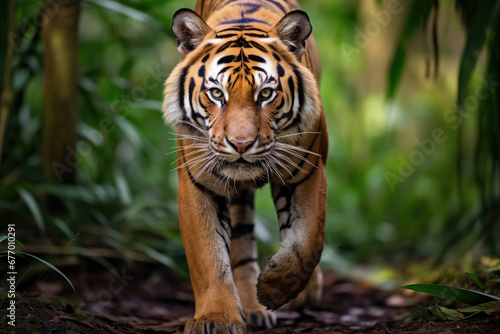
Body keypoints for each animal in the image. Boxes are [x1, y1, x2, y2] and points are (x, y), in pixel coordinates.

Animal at [162, 0, 330, 332]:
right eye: (216, 93)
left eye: (265, 94)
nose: (240, 144)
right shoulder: (198, 183)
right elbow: (208, 257)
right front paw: (215, 318)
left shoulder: (309, 171)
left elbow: (307, 241)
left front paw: (275, 287)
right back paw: (252, 308)